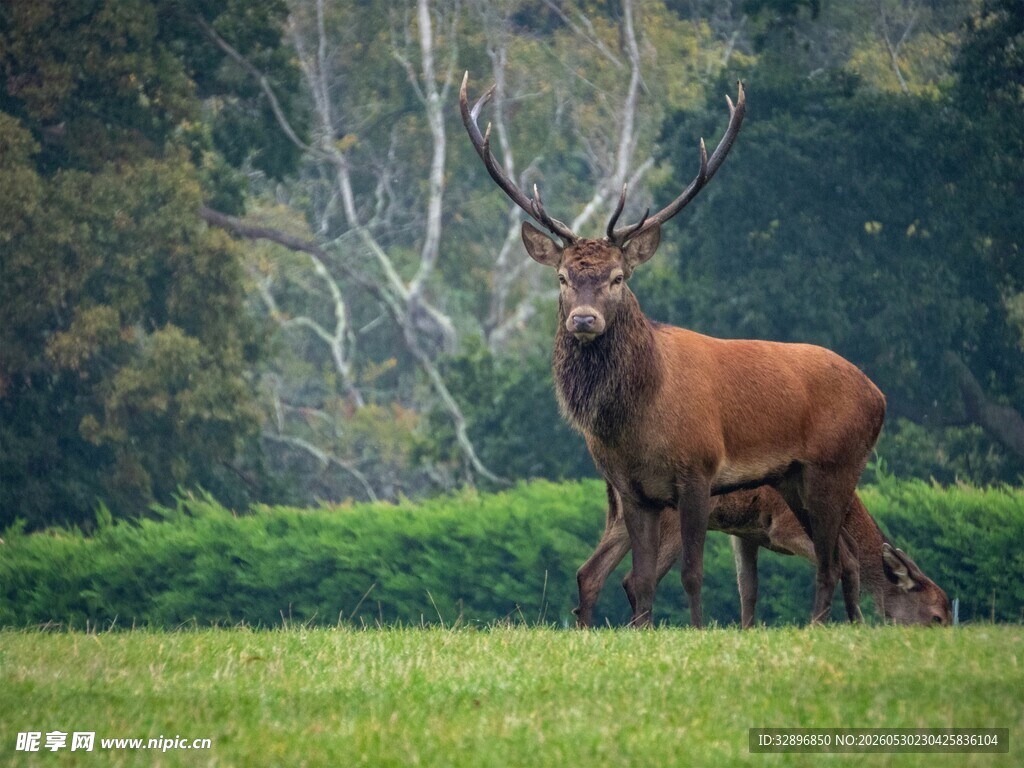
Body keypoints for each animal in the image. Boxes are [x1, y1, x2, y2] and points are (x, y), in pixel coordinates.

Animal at [460, 73, 887, 627]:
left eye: (618, 277)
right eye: (562, 277)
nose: (584, 320)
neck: (638, 420)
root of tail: (879, 396)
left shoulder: (698, 470)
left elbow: (692, 573)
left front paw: (699, 631)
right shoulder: (632, 489)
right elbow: (640, 581)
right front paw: (641, 630)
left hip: (837, 465)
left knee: (833, 559)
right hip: (795, 478)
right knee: (841, 555)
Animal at [574, 482, 952, 627]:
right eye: (936, 617)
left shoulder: (745, 533)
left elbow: (748, 588)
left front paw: (747, 631)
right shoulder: (784, 527)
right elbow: (848, 558)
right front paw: (849, 624)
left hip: (619, 518)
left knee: (589, 571)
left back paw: (587, 630)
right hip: (668, 519)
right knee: (634, 578)